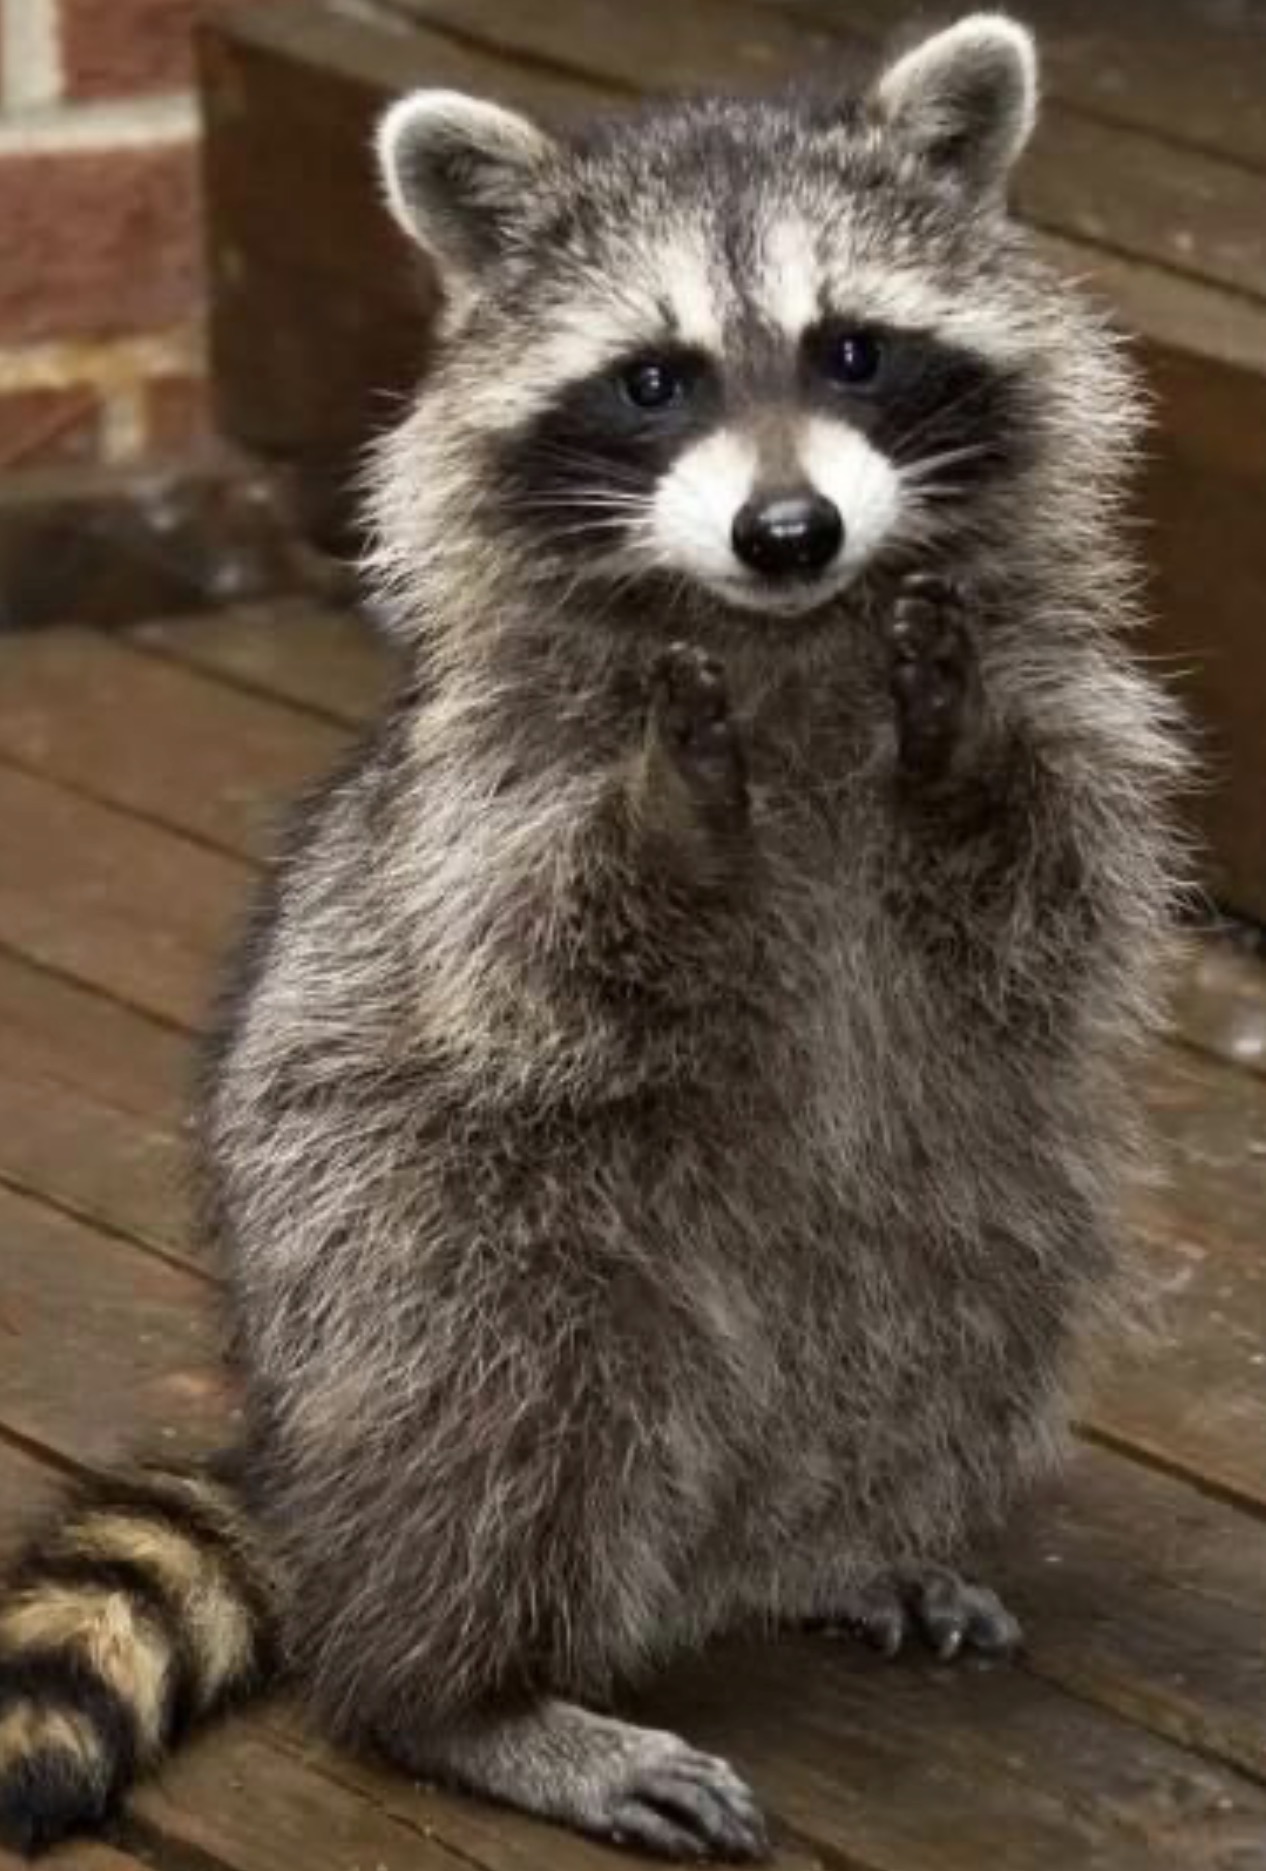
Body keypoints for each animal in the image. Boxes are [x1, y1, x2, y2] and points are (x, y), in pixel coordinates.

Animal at [0, 14, 1184, 1861]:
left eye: (853, 350)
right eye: (655, 379)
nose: (790, 530)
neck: (785, 638)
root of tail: (305, 1438)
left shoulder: (1079, 706)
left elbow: (1054, 907)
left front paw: (957, 749)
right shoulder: (485, 800)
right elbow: (544, 971)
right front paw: (672, 813)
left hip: (969, 1190)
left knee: (971, 1312)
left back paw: (824, 1538)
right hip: (425, 1228)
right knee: (500, 1413)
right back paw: (460, 1694)